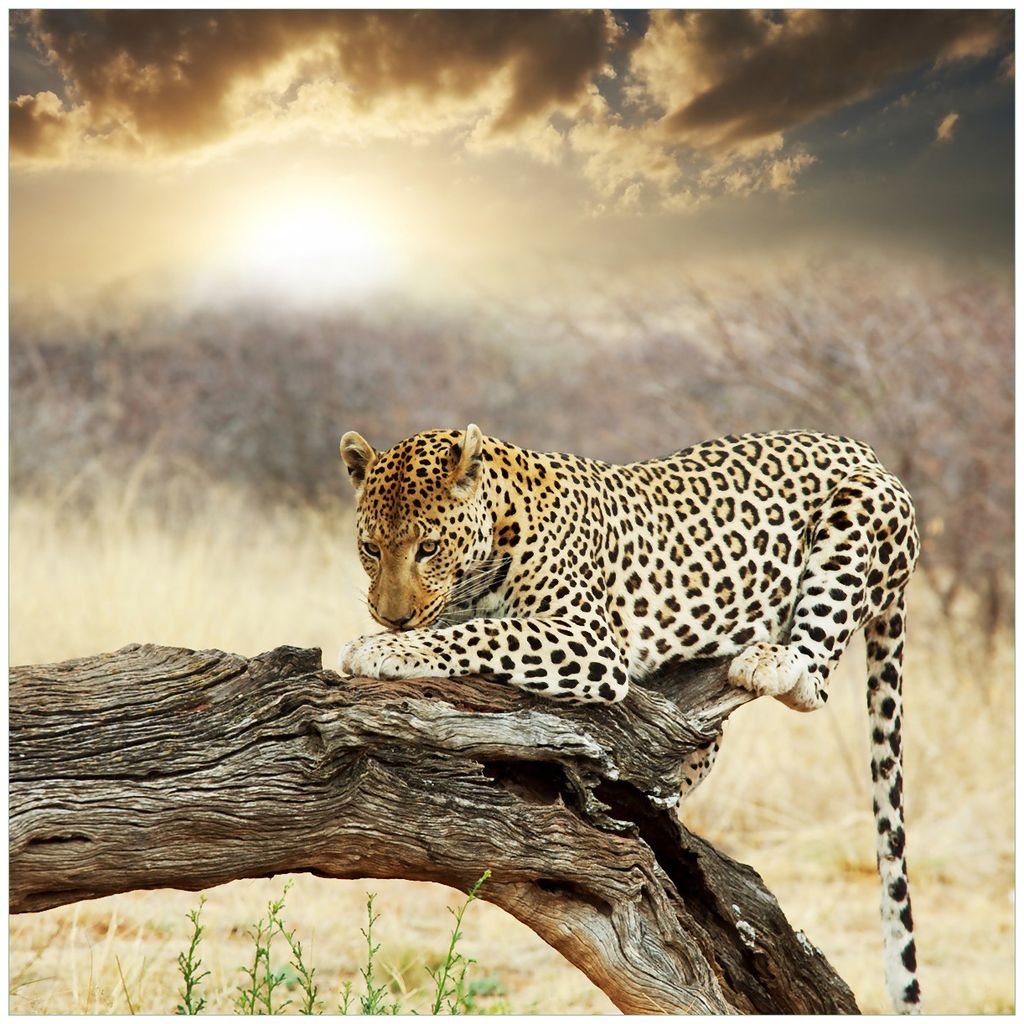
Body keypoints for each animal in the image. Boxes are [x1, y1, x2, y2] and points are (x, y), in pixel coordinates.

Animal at [338, 423, 922, 1013]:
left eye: (428, 548)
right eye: (370, 549)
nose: (392, 617)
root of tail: (863, 449)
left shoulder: (587, 638)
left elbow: (483, 633)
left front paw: (382, 649)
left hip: (859, 511)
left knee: (814, 678)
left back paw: (771, 661)